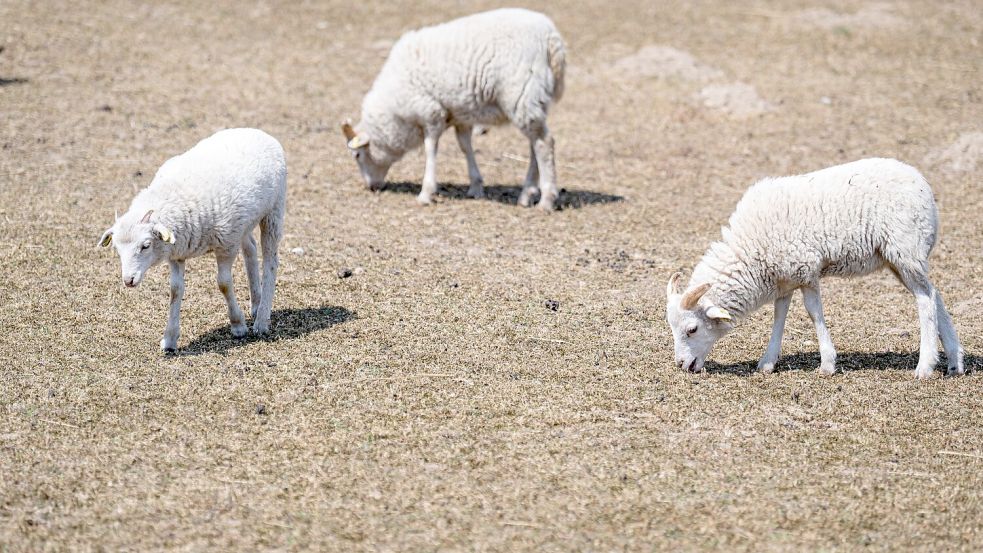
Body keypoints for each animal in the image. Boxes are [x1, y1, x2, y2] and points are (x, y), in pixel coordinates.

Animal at [97, 128, 286, 352]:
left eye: (146, 246)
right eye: (117, 249)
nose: (128, 280)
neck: (174, 198)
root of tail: (255, 131)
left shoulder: (227, 245)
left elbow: (223, 283)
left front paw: (238, 325)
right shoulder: (177, 253)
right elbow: (175, 291)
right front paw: (169, 339)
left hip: (274, 210)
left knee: (270, 261)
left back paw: (262, 320)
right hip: (244, 223)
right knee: (250, 249)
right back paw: (256, 304)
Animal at [342, 8, 564, 211]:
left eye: (357, 155)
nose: (371, 187)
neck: (394, 112)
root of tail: (552, 38)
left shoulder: (431, 113)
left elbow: (430, 149)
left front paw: (426, 192)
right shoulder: (460, 115)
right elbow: (465, 146)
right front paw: (475, 187)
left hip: (522, 94)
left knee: (544, 143)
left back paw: (546, 200)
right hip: (533, 101)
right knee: (535, 145)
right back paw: (527, 194)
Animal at [664, 157, 964, 378]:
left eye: (692, 329)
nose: (681, 365)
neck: (751, 251)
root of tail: (923, 185)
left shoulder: (805, 270)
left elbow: (812, 312)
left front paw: (827, 364)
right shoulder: (784, 277)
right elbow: (779, 315)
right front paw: (768, 362)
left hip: (904, 247)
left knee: (925, 299)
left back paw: (924, 366)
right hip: (898, 258)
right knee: (933, 294)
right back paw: (954, 361)